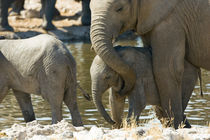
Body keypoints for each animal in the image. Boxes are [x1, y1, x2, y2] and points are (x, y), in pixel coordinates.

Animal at [90, 0, 210, 129]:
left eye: (120, 9)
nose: (111, 122)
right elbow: (115, 101)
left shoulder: (171, 19)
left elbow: (166, 69)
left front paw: (175, 126)